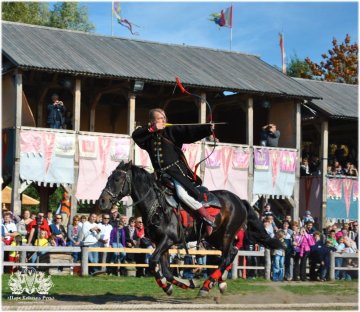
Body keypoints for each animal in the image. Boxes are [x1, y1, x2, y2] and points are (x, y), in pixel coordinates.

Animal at [98, 161, 282, 294]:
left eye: (117, 179)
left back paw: (207, 285)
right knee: (230, 253)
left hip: (226, 234)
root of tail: (240, 201)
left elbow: (153, 262)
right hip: (214, 237)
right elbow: (166, 271)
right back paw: (219, 282)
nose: (102, 201)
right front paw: (180, 284)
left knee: (227, 256)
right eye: (108, 178)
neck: (157, 206)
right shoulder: (161, 243)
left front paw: (174, 284)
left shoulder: (168, 240)